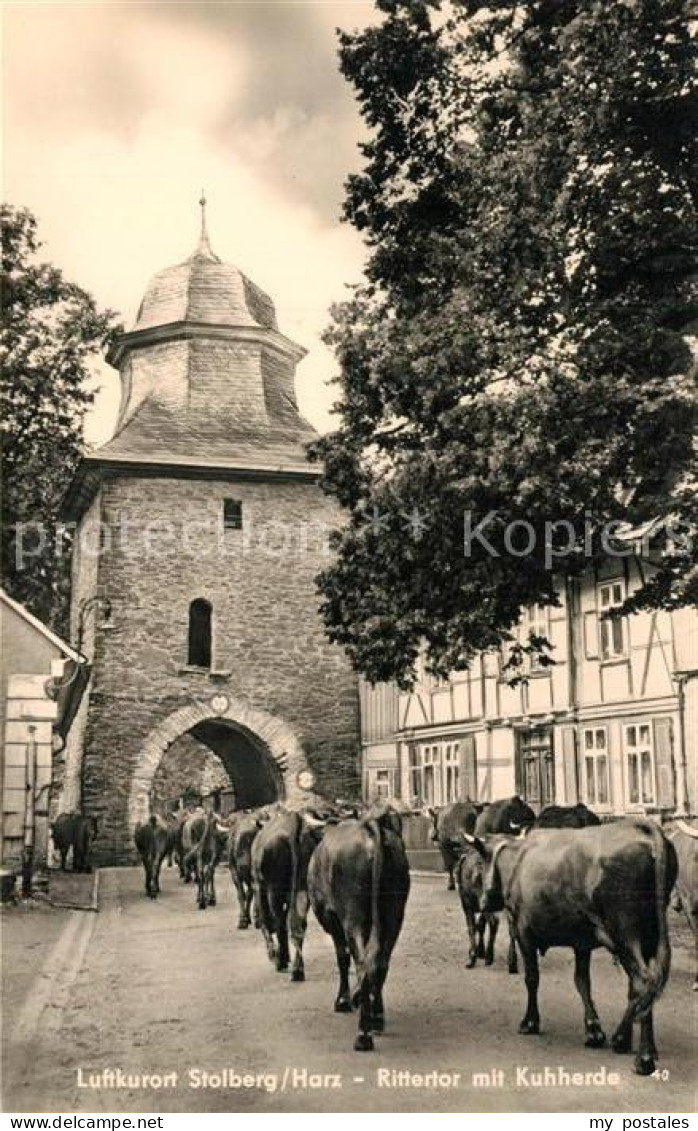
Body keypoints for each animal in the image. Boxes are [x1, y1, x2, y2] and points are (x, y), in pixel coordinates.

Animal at [307, 805, 411, 1049]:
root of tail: (369, 827)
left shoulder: (333, 921)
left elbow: (343, 959)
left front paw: (344, 1000)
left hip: (353, 917)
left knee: (364, 965)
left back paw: (363, 1034)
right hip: (394, 915)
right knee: (380, 963)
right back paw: (377, 1018)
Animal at [472, 818, 674, 1072]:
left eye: (480, 863)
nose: (482, 902)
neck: (517, 860)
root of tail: (642, 829)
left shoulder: (524, 933)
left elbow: (532, 979)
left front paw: (530, 1022)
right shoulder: (582, 943)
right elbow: (582, 983)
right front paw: (593, 1030)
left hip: (625, 934)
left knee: (644, 981)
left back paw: (640, 1054)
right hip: (647, 937)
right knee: (643, 989)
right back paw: (634, 1044)